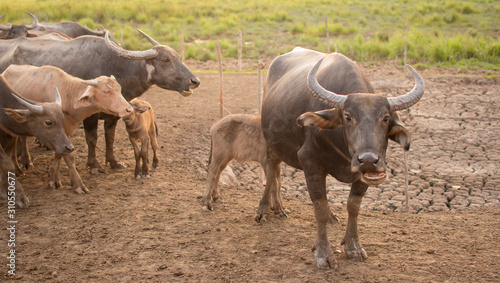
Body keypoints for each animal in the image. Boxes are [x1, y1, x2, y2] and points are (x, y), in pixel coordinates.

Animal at [0, 30, 199, 174]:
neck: (116, 65)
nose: (194, 81)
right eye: (165, 60)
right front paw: (94, 165)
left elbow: (109, 138)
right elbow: (92, 139)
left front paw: (114, 162)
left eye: (178, 57)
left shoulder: (114, 117)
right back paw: (26, 162)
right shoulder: (90, 116)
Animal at [260, 48, 424, 270]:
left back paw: (283, 209)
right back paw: (264, 210)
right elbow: (319, 207)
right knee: (271, 171)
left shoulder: (363, 178)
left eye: (386, 118)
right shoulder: (310, 162)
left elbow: (353, 206)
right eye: (347, 116)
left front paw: (353, 247)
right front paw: (323, 254)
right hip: (271, 143)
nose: (368, 160)